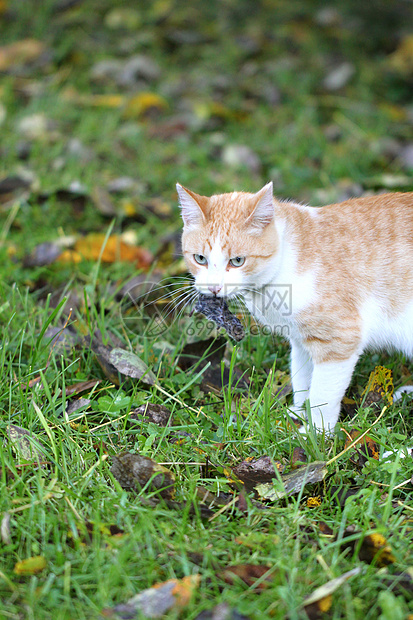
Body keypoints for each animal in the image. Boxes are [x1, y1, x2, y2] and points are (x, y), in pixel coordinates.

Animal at [177, 182, 412, 434]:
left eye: (237, 261)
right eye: (200, 258)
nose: (214, 288)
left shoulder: (339, 340)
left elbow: (322, 395)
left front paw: (315, 433)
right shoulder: (300, 341)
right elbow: (302, 379)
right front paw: (299, 412)